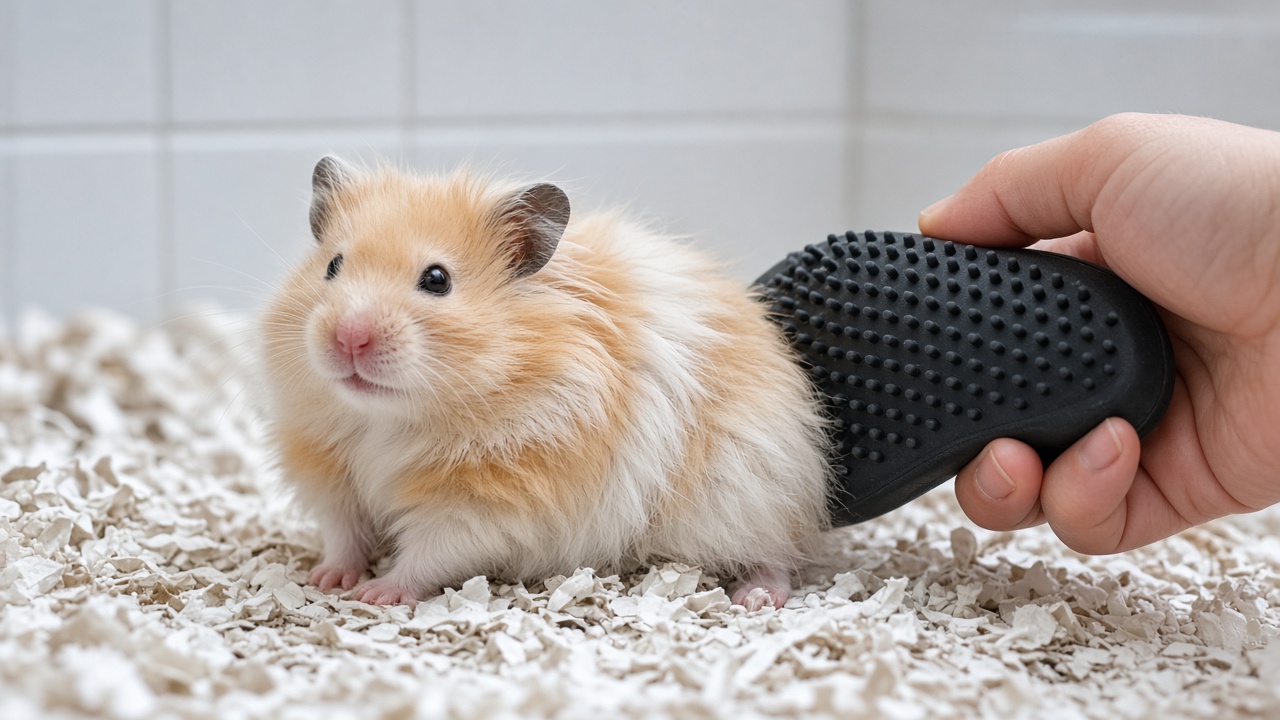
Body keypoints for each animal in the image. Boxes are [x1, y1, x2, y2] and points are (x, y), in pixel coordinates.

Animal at [260, 157, 832, 610]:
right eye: (333, 266)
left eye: (437, 280)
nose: (348, 338)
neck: (391, 419)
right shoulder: (334, 478)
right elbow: (345, 535)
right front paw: (325, 580)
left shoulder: (484, 507)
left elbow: (428, 554)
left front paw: (377, 594)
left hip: (750, 495)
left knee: (781, 556)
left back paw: (755, 598)